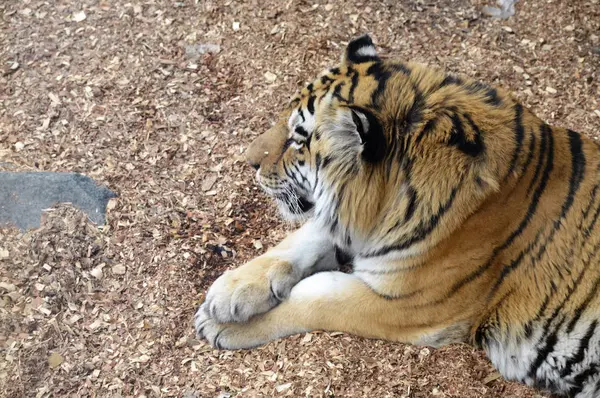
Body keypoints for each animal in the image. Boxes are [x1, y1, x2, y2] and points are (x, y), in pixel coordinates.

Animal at [195, 35, 600, 398]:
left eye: (298, 138)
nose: (248, 160)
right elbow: (305, 237)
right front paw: (228, 294)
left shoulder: (405, 305)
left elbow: (314, 295)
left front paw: (216, 323)